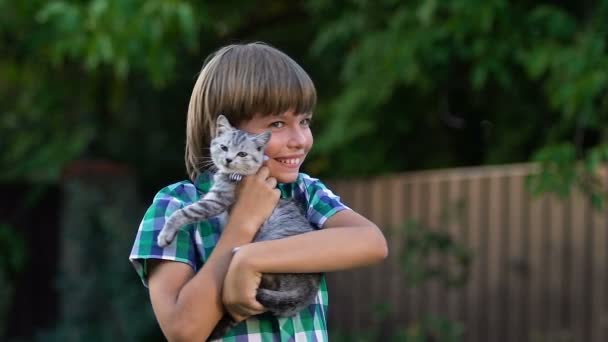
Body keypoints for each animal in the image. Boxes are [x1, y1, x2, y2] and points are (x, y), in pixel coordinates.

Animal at [154, 115, 320, 340]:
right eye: (224, 147)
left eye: (242, 153)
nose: (228, 160)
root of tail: (309, 288)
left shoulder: (217, 200)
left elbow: (184, 212)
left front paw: (165, 234)